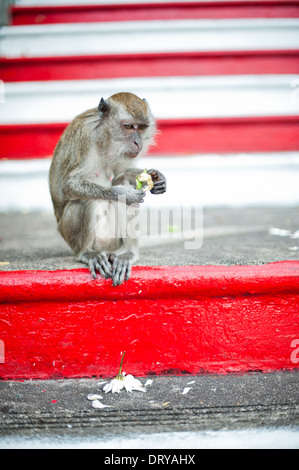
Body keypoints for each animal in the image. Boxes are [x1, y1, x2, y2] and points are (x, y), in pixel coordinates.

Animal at [49, 90, 166, 284]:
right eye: (128, 126)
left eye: (142, 127)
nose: (138, 142)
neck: (104, 137)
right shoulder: (84, 135)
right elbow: (69, 184)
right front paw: (121, 193)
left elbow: (122, 173)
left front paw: (156, 177)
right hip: (78, 237)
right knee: (84, 201)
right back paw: (87, 253)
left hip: (113, 241)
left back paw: (127, 253)